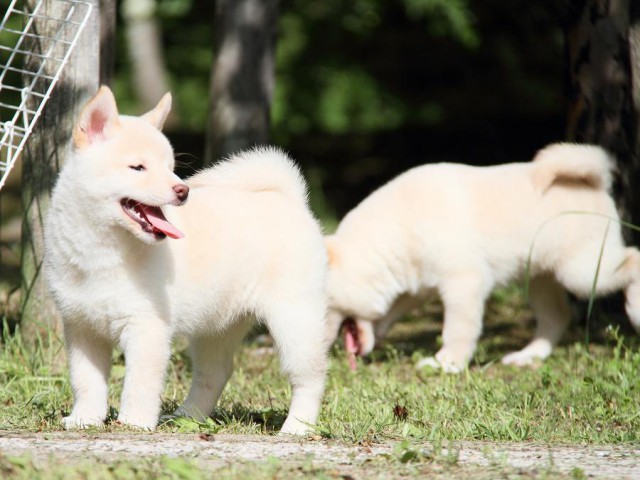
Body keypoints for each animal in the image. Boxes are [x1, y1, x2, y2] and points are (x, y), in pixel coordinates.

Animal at [43, 87, 330, 436]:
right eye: (137, 167)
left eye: (170, 166)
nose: (182, 189)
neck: (103, 248)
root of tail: (289, 199)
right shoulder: (82, 328)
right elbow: (86, 381)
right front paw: (85, 419)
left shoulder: (147, 327)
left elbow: (139, 383)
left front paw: (134, 423)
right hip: (218, 326)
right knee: (215, 373)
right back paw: (187, 416)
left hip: (295, 320)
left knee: (310, 376)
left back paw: (298, 426)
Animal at [324, 144, 640, 374]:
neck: (398, 228)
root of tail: (595, 182)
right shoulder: (417, 286)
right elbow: (390, 311)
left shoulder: (464, 283)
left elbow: (457, 330)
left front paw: (446, 364)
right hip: (541, 278)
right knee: (558, 316)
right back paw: (527, 356)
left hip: (582, 271)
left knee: (632, 259)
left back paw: (635, 309)